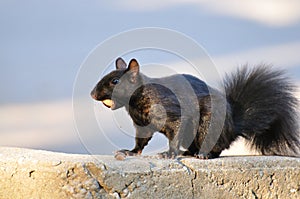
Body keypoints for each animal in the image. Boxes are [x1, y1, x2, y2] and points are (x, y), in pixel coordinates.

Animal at [90, 57, 298, 159]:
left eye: (115, 81)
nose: (92, 94)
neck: (139, 98)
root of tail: (233, 125)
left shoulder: (172, 112)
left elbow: (175, 130)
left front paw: (168, 154)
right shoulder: (142, 124)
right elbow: (141, 140)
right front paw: (131, 152)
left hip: (209, 125)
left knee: (216, 147)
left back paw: (204, 154)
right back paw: (188, 152)